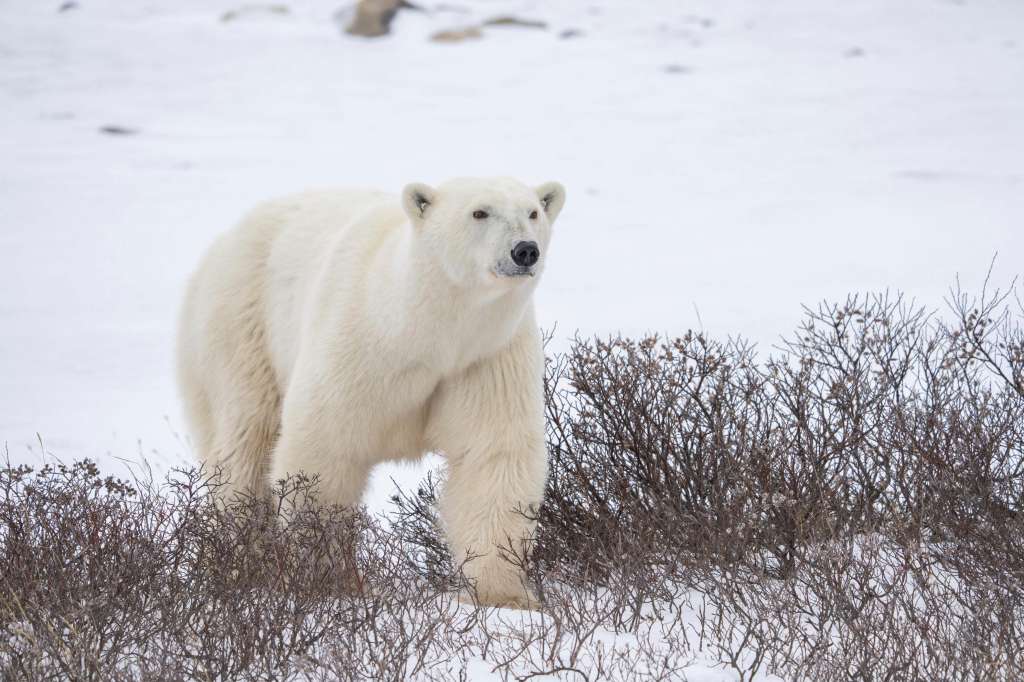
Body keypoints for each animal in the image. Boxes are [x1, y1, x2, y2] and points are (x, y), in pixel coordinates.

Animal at [176, 177, 565, 608]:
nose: (524, 250)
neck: (422, 332)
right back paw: (240, 561)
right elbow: (323, 448)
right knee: (247, 441)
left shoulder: (485, 358)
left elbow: (493, 454)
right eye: (480, 212)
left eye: (533, 212)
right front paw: (325, 580)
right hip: (243, 324)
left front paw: (504, 595)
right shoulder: (360, 345)